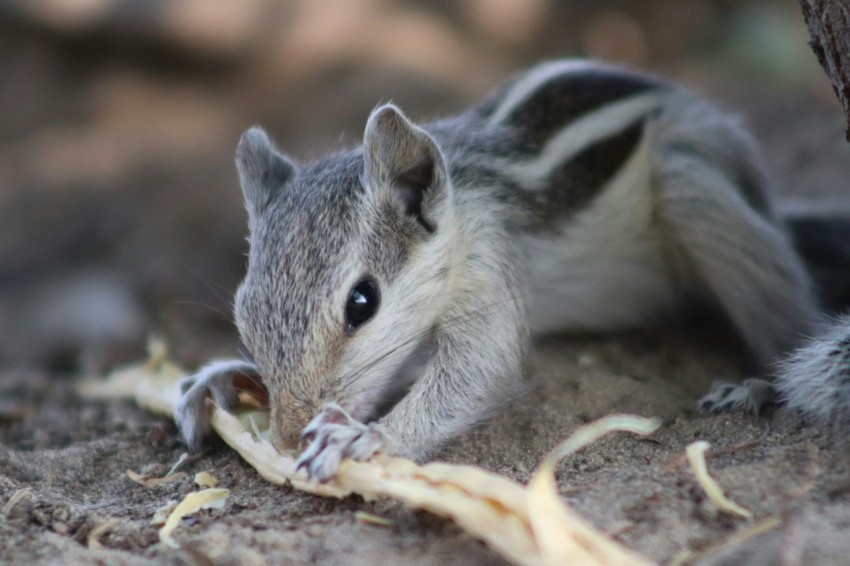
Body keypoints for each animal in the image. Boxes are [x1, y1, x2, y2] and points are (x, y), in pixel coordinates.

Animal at [172, 58, 828, 484]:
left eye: (362, 303)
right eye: (243, 312)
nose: (286, 434)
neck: (462, 211)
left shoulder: (485, 274)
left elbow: (479, 370)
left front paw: (365, 436)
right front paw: (222, 377)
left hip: (693, 188)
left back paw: (759, 383)